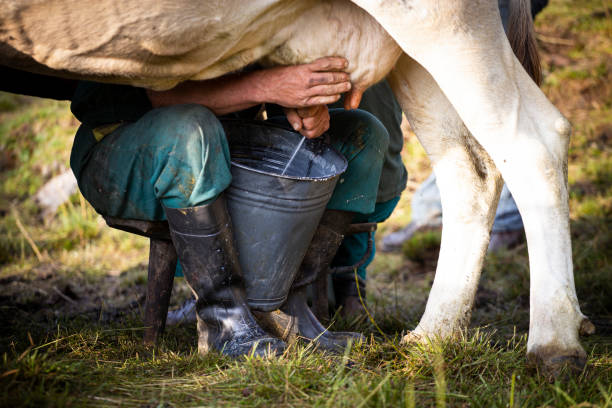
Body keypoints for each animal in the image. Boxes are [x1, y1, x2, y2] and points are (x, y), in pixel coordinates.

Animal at [0, 0, 592, 372]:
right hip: (414, 50)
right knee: (469, 163)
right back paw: (429, 336)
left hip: (442, 18)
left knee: (534, 142)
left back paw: (552, 346)